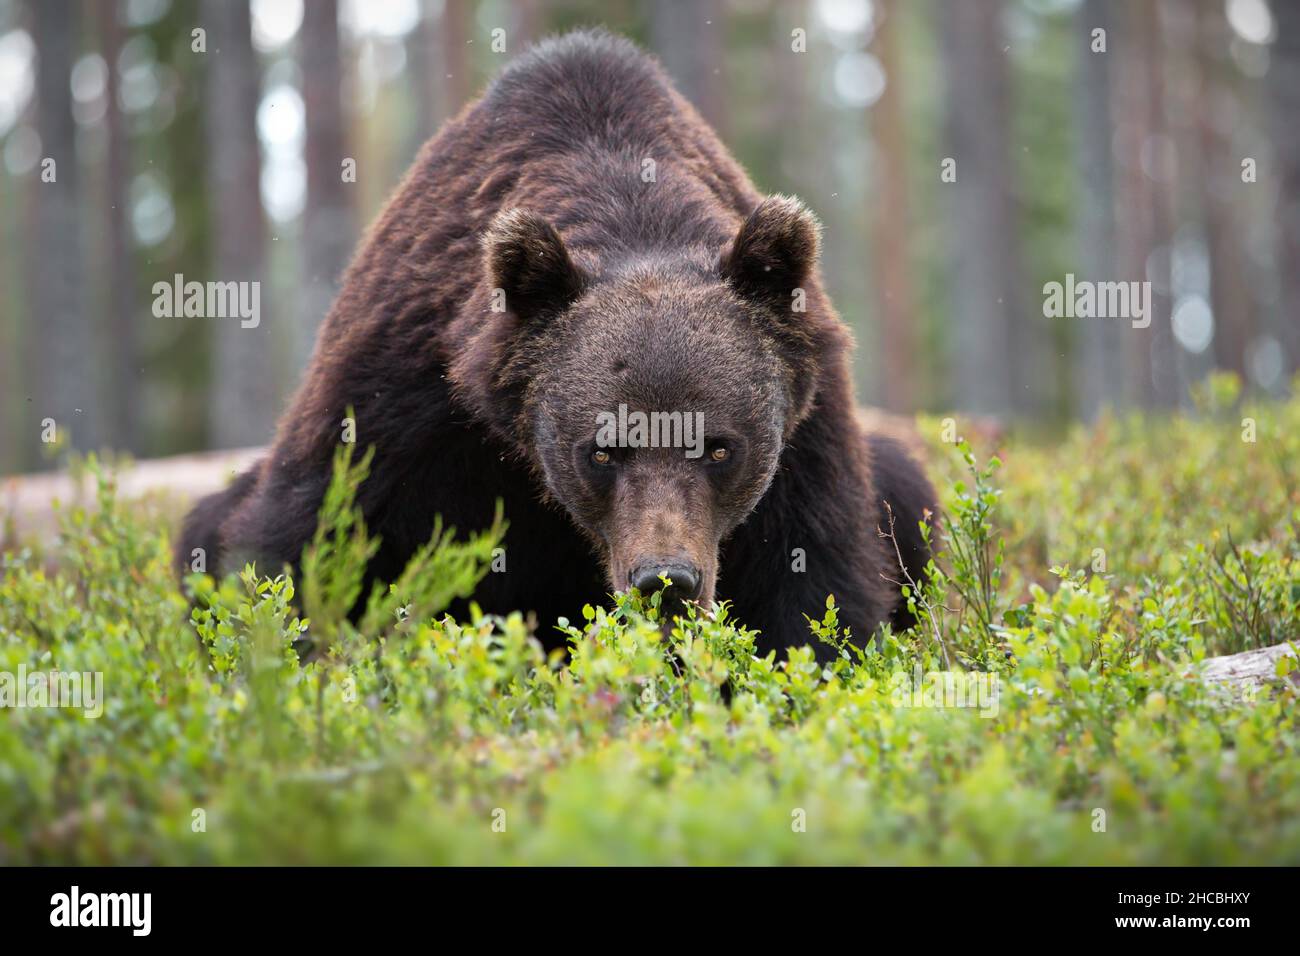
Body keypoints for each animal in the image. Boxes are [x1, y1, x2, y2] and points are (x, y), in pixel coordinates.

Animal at [177, 28, 938, 662]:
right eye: (601, 449)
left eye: (719, 446)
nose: (666, 579)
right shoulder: (404, 393)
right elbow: (310, 540)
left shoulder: (807, 426)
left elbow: (813, 583)